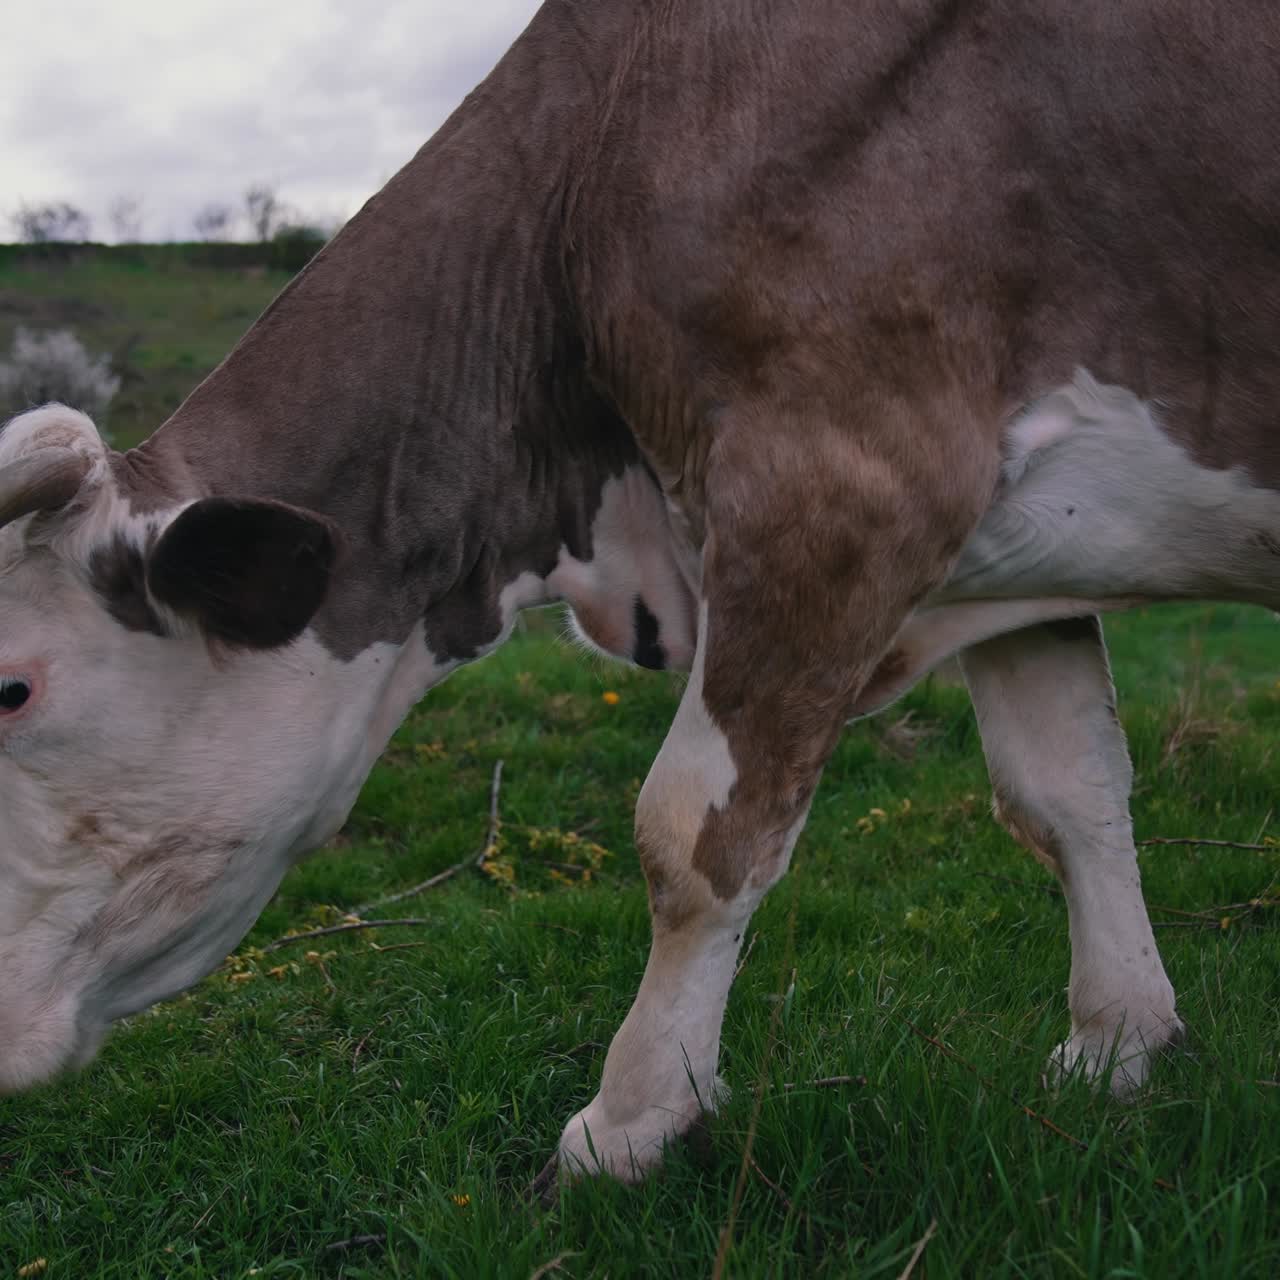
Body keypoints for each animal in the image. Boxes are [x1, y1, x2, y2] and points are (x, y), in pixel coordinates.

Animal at [2, 0, 1279, 1188]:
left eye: (13, 687)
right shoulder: (1015, 562)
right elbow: (1067, 794)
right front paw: (1115, 1041)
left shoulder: (841, 482)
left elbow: (691, 837)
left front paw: (630, 1120)